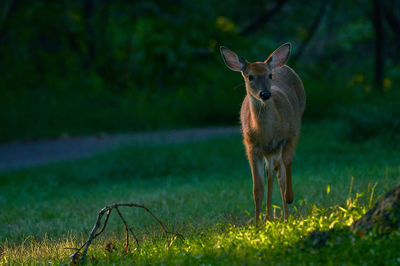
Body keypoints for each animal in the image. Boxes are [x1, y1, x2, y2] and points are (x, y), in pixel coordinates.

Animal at [220, 43, 304, 224]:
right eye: (250, 76)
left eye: (269, 75)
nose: (265, 94)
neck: (267, 133)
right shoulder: (251, 147)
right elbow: (257, 188)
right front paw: (258, 225)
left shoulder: (291, 133)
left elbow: (287, 163)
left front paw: (290, 197)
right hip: (267, 151)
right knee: (271, 173)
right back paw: (269, 218)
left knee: (278, 173)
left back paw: (285, 216)